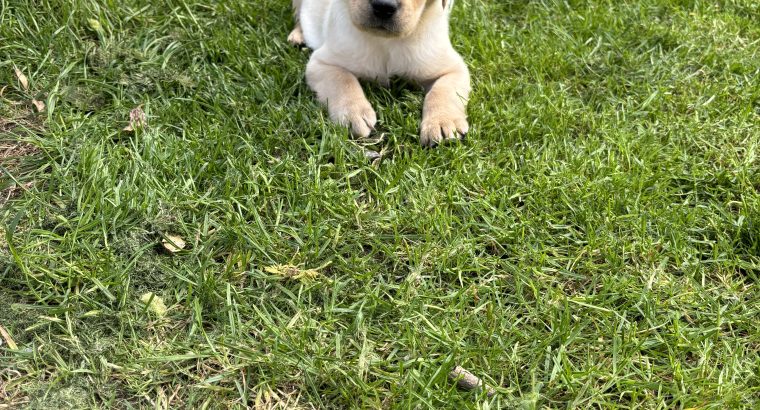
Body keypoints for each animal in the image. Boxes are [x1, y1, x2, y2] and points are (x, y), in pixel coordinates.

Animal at [290, 0, 470, 147]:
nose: (384, 6)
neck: (386, 41)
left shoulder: (454, 68)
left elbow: (443, 91)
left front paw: (442, 122)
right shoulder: (322, 63)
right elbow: (343, 81)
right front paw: (353, 114)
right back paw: (298, 35)